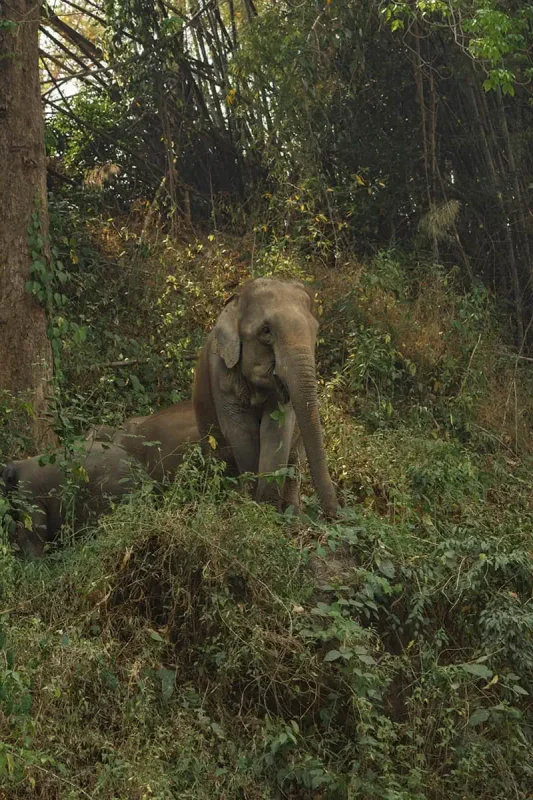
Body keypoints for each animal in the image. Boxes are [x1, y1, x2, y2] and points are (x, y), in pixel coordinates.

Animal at [192, 277, 338, 516]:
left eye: (315, 329)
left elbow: (277, 429)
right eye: (266, 331)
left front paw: (265, 508)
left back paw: (293, 514)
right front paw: (253, 507)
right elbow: (241, 432)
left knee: (295, 460)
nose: (332, 516)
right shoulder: (221, 374)